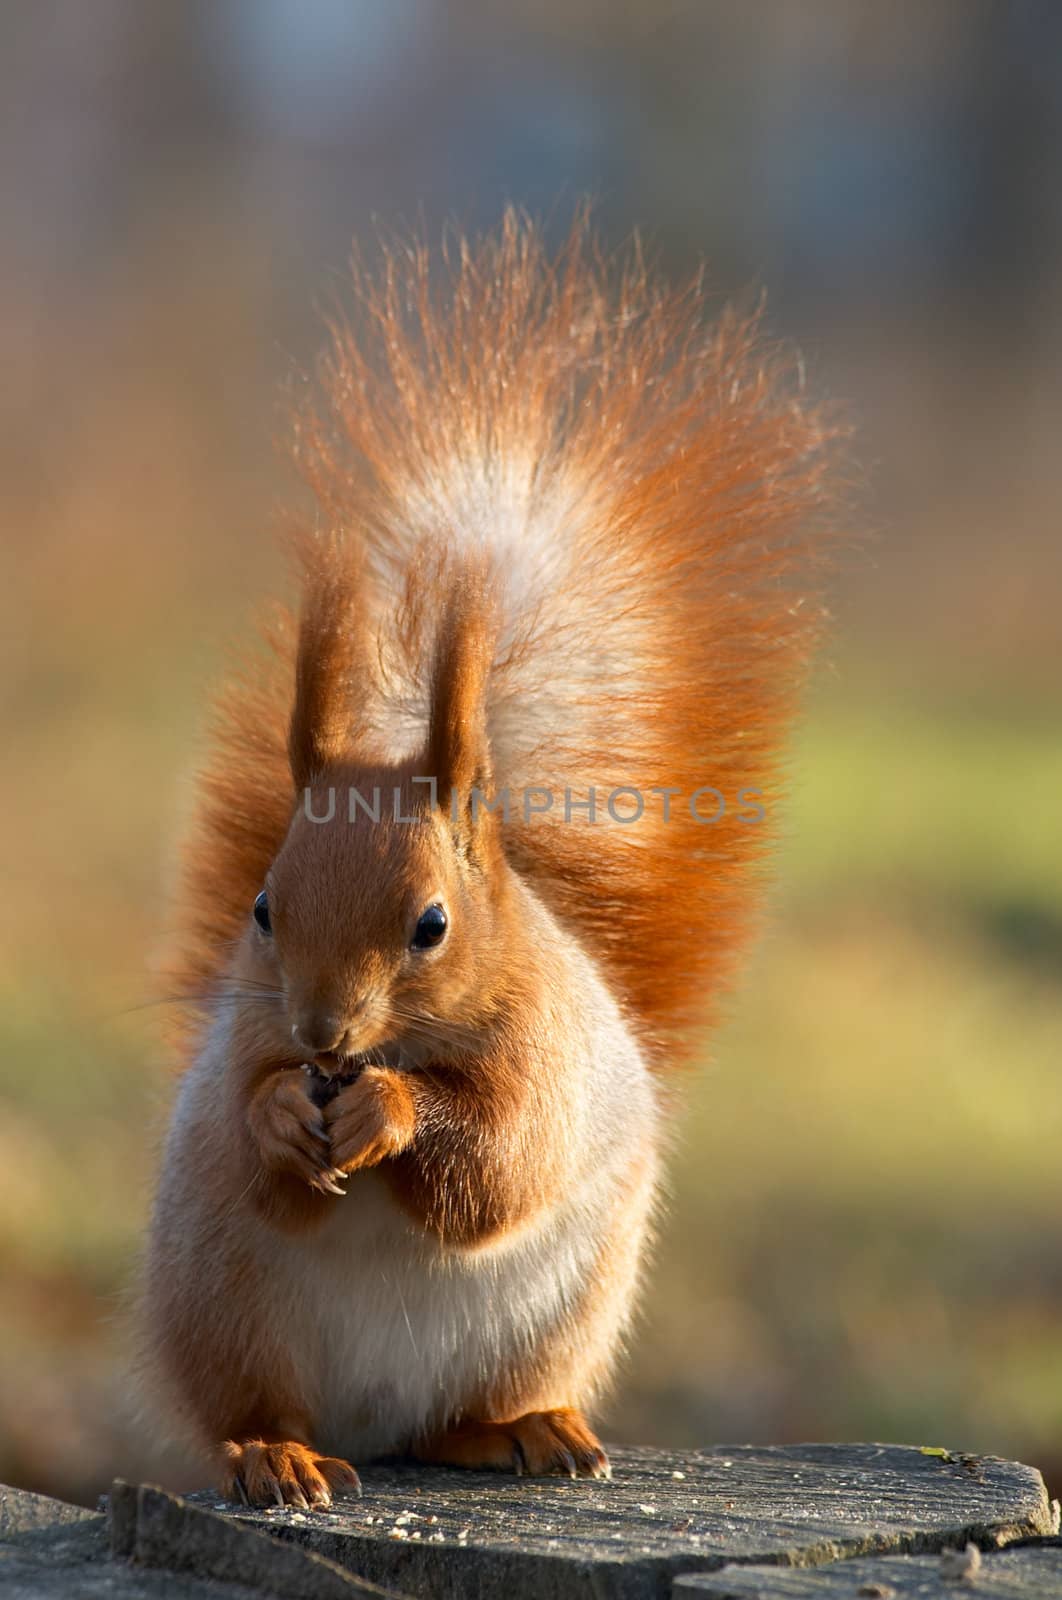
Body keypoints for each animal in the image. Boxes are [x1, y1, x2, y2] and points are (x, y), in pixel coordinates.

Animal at [140, 216, 844, 1510]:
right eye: (262, 909)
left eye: (432, 924)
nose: (323, 1035)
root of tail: (366, 1426)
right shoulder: (240, 1048)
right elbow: (253, 1139)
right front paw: (285, 1115)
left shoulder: (542, 1059)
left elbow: (498, 1167)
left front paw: (388, 1110)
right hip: (223, 1305)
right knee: (251, 1411)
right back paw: (275, 1453)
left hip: (552, 1318)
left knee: (456, 1417)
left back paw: (523, 1432)